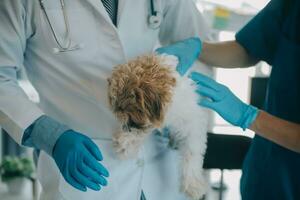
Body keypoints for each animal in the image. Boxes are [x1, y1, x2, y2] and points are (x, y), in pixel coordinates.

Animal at [107, 54, 209, 199]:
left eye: (132, 118)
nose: (126, 126)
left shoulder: (192, 122)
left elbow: (191, 153)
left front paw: (192, 185)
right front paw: (126, 144)